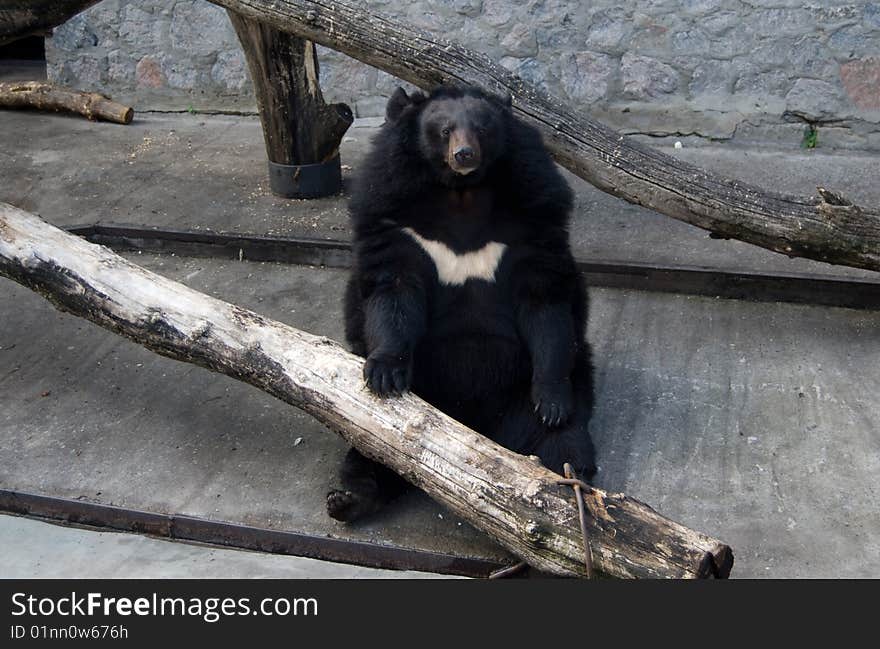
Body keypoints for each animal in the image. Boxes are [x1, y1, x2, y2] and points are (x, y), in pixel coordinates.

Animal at [328, 85, 600, 520]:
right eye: (444, 130)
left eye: (483, 128)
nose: (465, 155)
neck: (461, 193)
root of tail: (474, 423)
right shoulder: (393, 215)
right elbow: (394, 290)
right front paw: (385, 374)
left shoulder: (532, 217)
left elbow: (545, 301)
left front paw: (552, 402)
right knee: (372, 446)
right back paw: (350, 498)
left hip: (527, 391)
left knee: (562, 444)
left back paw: (570, 493)